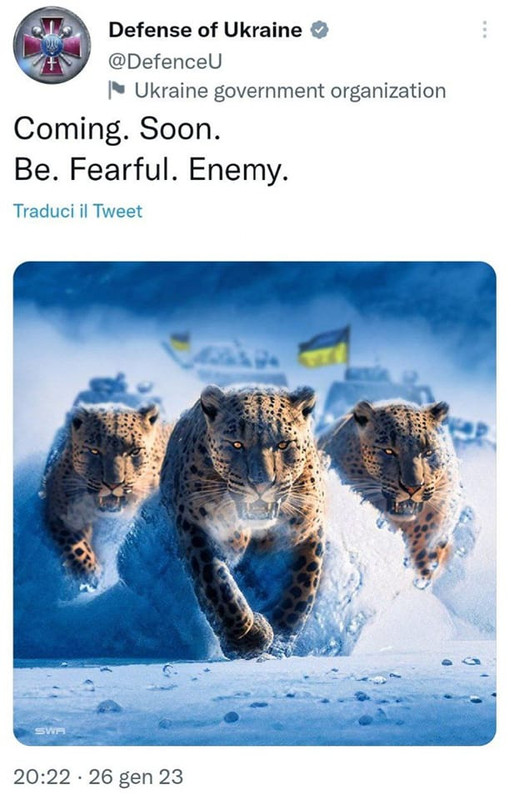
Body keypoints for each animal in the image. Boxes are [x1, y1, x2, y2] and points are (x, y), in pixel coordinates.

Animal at [43, 403, 172, 584]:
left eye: (135, 451)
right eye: (94, 451)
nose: (113, 483)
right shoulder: (60, 509)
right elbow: (77, 548)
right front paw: (92, 576)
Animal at [160, 385, 326, 659]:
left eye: (283, 444)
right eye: (237, 444)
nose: (261, 483)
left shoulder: (309, 528)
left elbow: (302, 587)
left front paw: (281, 637)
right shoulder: (196, 525)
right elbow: (216, 585)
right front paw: (249, 639)